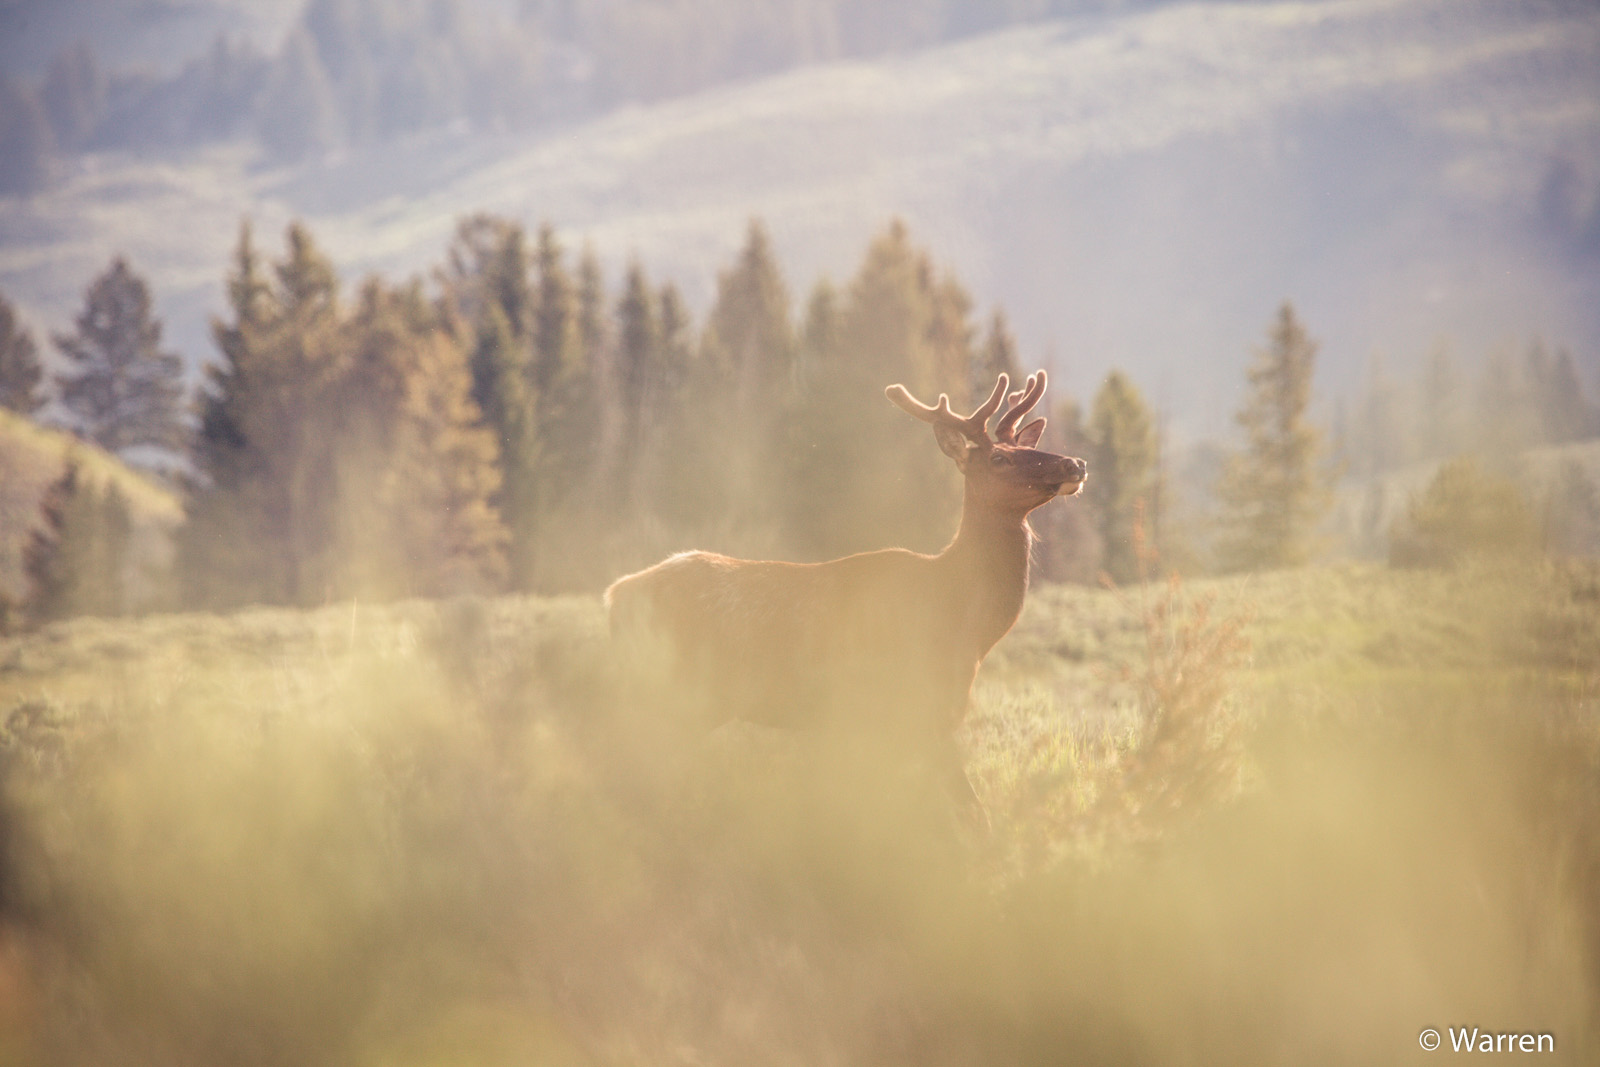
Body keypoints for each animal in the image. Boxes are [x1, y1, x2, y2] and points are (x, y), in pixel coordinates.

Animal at [603, 371, 1086, 827]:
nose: (1075, 462)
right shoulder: (912, 706)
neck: (964, 621)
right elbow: (966, 814)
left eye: (1024, 445)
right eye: (1000, 457)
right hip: (668, 689)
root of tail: (615, 594)